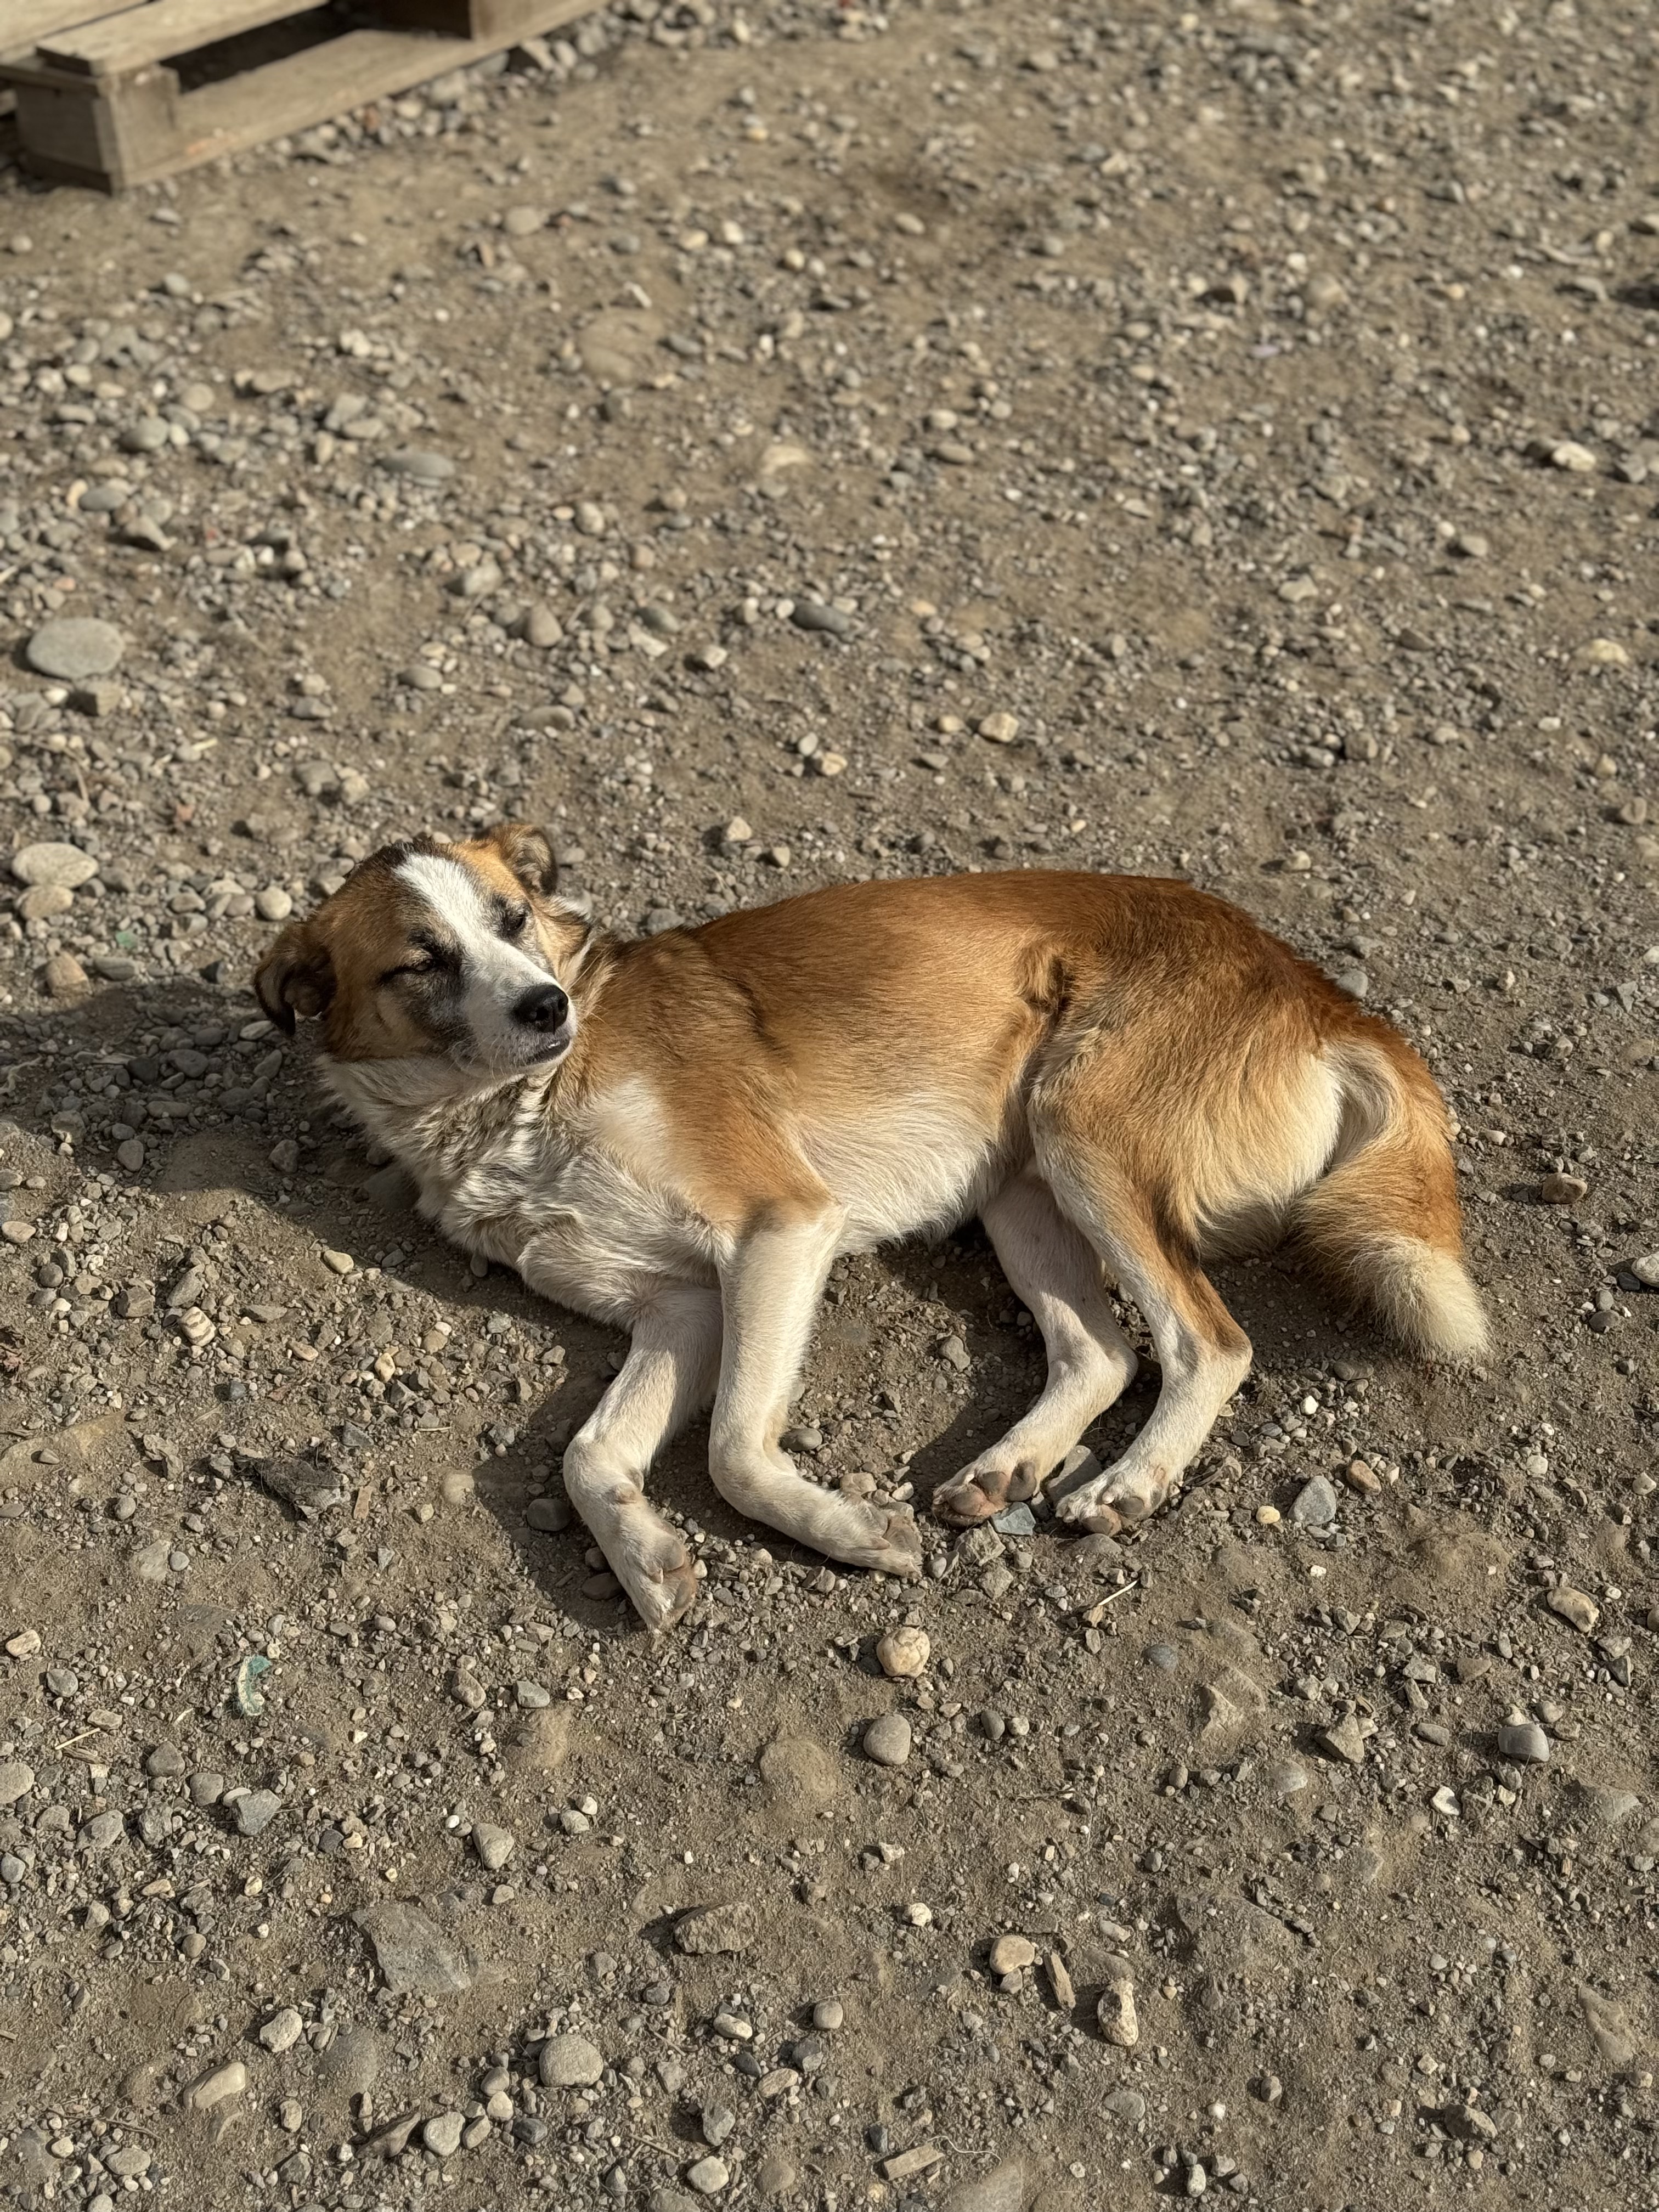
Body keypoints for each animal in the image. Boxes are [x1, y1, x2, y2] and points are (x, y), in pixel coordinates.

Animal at [256, 824, 1486, 1629]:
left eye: (512, 920)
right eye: (421, 960)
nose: (543, 1006)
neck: (513, 1108)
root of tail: (1312, 986)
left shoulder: (780, 1227)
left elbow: (733, 1448)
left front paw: (849, 1534)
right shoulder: (678, 1307)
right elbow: (590, 1453)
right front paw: (649, 1563)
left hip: (1080, 1128)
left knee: (1207, 1342)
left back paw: (1126, 1484)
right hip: (1018, 1186)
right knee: (1098, 1350)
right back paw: (1005, 1469)